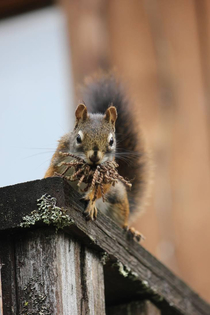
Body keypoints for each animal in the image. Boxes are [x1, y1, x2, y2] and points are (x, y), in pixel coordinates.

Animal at [44, 73, 149, 238]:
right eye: (78, 138)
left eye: (111, 141)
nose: (94, 157)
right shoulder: (59, 157)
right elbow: (50, 171)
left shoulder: (107, 173)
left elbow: (100, 188)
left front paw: (91, 201)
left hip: (118, 196)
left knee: (122, 221)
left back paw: (131, 231)